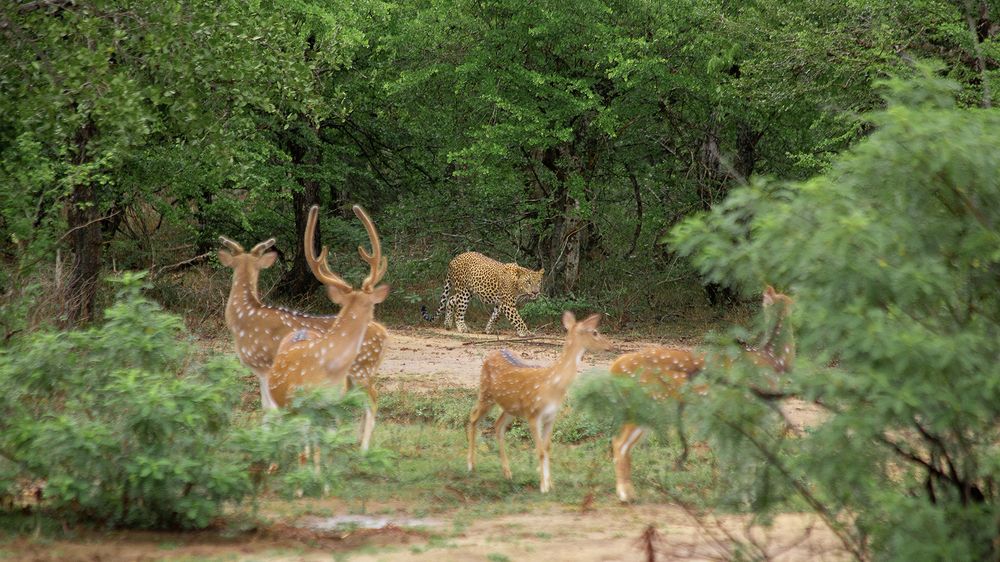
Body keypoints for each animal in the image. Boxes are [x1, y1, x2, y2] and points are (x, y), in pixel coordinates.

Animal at [217, 209, 387, 450]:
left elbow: (268, 407)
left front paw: (267, 440)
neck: (244, 317)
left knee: (372, 401)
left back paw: (363, 448)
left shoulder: (263, 364)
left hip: (361, 369)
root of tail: (385, 334)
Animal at [467, 311, 611, 493]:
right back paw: (471, 465)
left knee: (498, 425)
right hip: (485, 393)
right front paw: (543, 486)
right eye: (595, 332)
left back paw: (507, 472)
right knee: (473, 418)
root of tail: (491, 353)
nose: (610, 346)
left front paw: (550, 483)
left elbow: (547, 448)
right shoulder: (533, 414)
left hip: (510, 407)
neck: (552, 385)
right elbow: (540, 450)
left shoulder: (551, 416)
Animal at [608, 285, 795, 502]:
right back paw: (627, 494)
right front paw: (748, 498)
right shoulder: (750, 409)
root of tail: (615, 367)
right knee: (620, 443)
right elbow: (748, 457)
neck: (773, 361)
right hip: (649, 403)